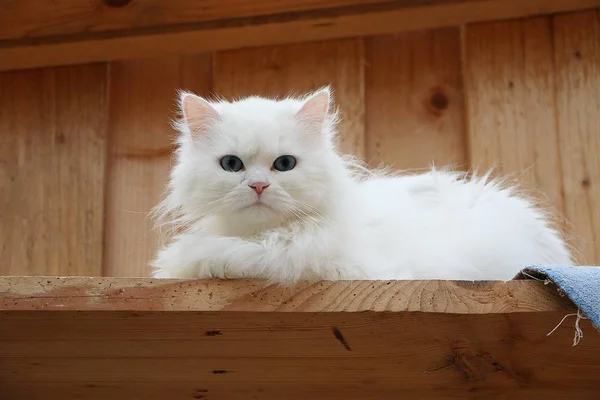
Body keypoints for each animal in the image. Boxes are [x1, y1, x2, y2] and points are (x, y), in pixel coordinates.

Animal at [150, 86, 572, 282]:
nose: (258, 187)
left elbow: (234, 257)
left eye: (283, 164)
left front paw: (207, 262)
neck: (261, 235)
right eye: (232, 165)